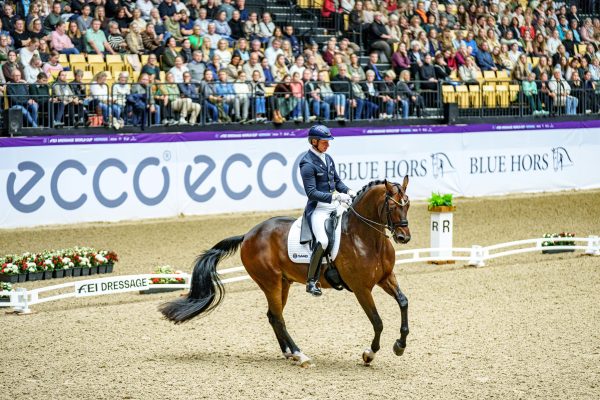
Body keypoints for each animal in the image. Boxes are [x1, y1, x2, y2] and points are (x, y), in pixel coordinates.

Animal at [161, 177, 412, 366]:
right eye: (392, 207)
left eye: (407, 205)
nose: (404, 237)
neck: (365, 237)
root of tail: (249, 234)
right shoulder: (361, 288)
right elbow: (377, 321)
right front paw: (369, 354)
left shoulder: (386, 278)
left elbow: (403, 302)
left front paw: (400, 345)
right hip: (270, 281)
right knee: (278, 318)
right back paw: (300, 355)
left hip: (283, 282)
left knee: (273, 316)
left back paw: (289, 352)